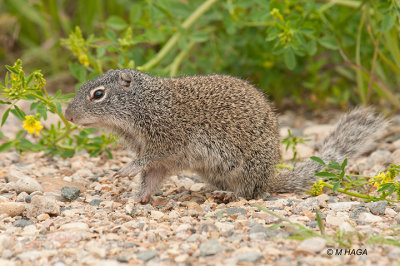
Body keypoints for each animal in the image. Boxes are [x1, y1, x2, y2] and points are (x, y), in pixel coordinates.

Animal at [64, 69, 386, 204]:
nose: (67, 115)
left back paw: (229, 195)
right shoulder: (161, 158)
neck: (145, 103)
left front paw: (124, 171)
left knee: (249, 193)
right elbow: (151, 177)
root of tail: (269, 178)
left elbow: (147, 161)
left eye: (98, 95)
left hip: (245, 170)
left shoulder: (166, 141)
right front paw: (138, 197)